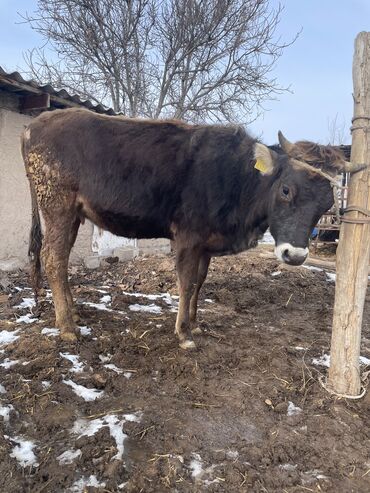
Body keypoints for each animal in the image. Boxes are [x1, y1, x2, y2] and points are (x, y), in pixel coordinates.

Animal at [21, 108, 362, 346]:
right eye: (286, 189)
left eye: (327, 204)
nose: (296, 255)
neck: (239, 180)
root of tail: (36, 124)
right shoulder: (187, 237)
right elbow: (185, 282)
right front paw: (184, 334)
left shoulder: (206, 243)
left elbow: (199, 281)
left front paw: (196, 323)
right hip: (57, 204)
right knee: (53, 259)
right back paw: (67, 327)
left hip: (72, 214)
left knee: (59, 258)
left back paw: (72, 312)